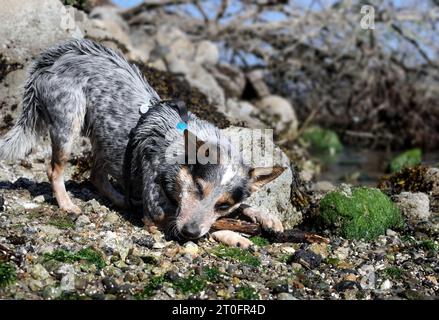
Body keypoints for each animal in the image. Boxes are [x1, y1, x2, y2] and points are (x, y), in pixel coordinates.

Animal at [0, 38, 286, 246]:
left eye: (223, 204)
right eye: (197, 187)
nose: (191, 232)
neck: (174, 157)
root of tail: (55, 59)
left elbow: (237, 209)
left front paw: (267, 218)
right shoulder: (158, 213)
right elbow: (210, 223)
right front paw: (235, 235)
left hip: (107, 139)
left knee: (97, 176)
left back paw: (120, 198)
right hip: (68, 122)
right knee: (54, 169)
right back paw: (68, 204)